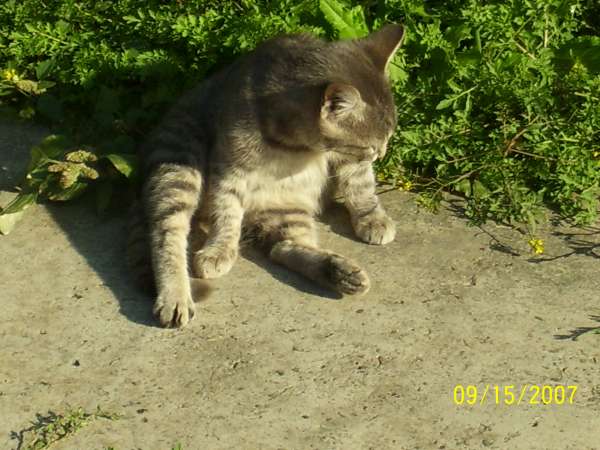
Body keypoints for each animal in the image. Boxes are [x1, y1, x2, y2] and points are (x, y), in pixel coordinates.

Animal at [127, 24, 405, 328]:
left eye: (387, 138)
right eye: (372, 145)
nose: (381, 153)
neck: (296, 146)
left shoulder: (348, 158)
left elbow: (361, 185)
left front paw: (372, 218)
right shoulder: (229, 166)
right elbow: (227, 212)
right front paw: (219, 249)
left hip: (287, 208)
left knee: (284, 247)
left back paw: (340, 272)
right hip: (178, 161)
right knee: (166, 232)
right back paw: (174, 296)